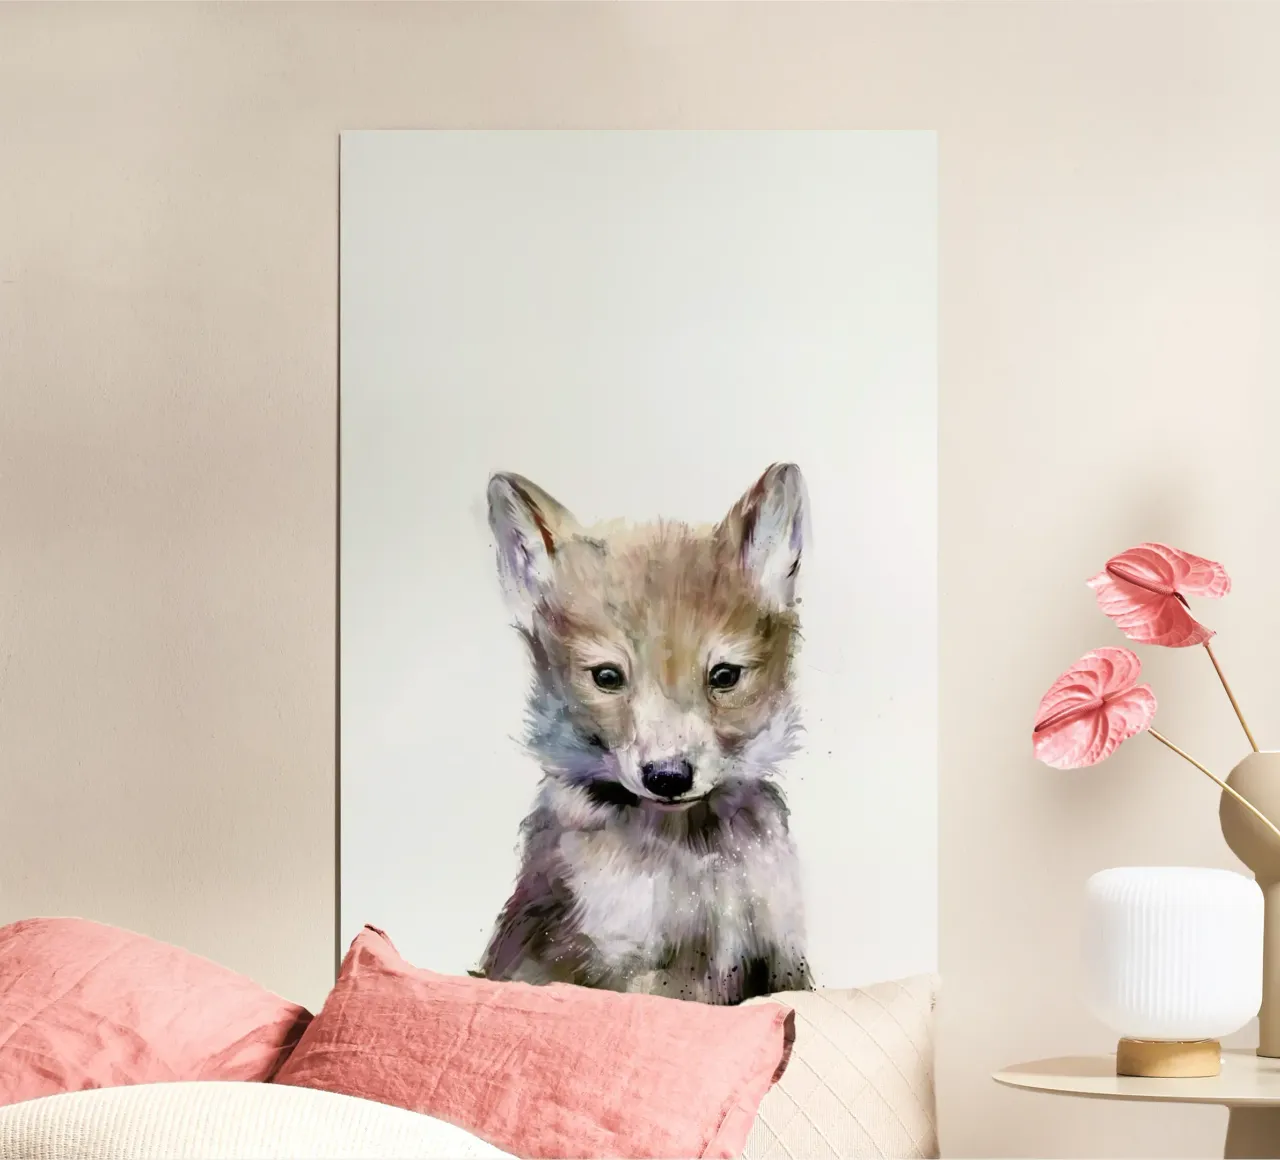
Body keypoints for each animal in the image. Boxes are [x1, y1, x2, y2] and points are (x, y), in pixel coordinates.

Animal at [476, 463, 812, 1005]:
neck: (693, 855)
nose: (668, 777)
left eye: (724, 675)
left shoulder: (782, 957)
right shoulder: (618, 968)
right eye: (607, 677)